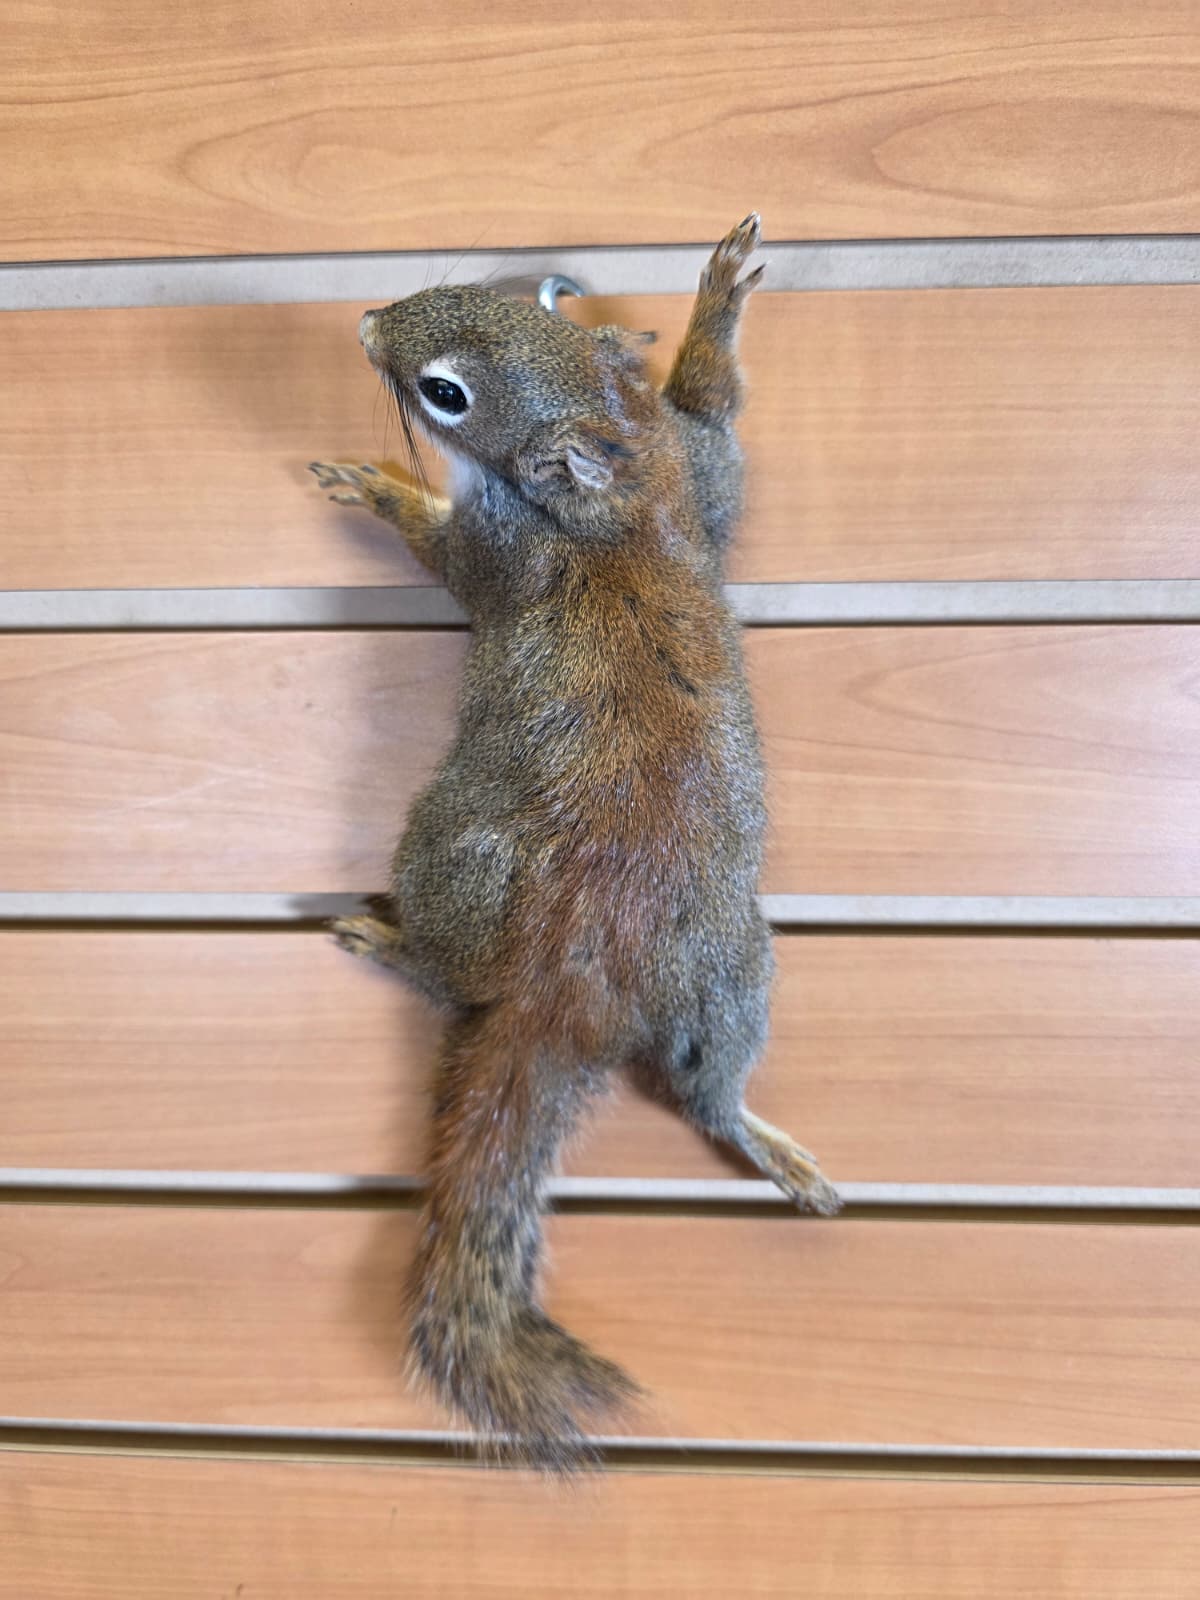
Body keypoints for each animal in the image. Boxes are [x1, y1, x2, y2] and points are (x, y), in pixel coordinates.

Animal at [310, 214, 840, 1472]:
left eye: (446, 394)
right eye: (488, 289)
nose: (366, 322)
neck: (625, 482)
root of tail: (573, 974)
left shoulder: (511, 548)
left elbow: (446, 552)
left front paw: (381, 485)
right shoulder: (700, 472)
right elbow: (719, 414)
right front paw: (711, 308)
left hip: (452, 855)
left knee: (454, 975)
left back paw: (396, 944)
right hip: (731, 970)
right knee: (701, 1087)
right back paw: (763, 1139)